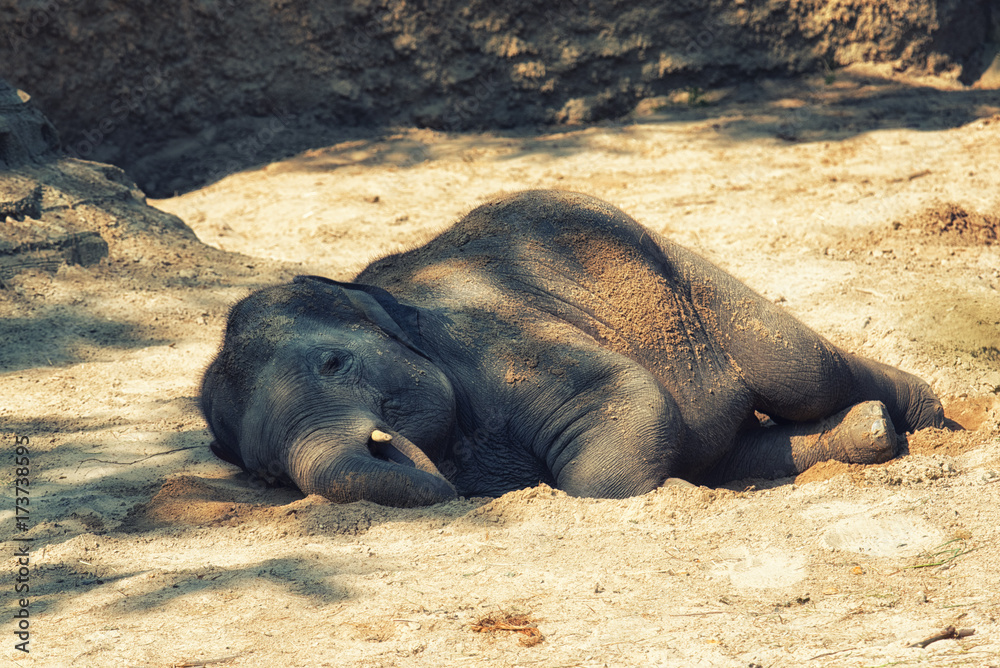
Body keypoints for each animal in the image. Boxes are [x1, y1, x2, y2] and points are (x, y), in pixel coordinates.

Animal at [200, 190, 944, 507]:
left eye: (334, 362)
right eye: (267, 474)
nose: (390, 444)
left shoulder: (495, 337)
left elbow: (624, 399)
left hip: (686, 275)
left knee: (803, 371)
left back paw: (926, 418)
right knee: (732, 446)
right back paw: (868, 434)